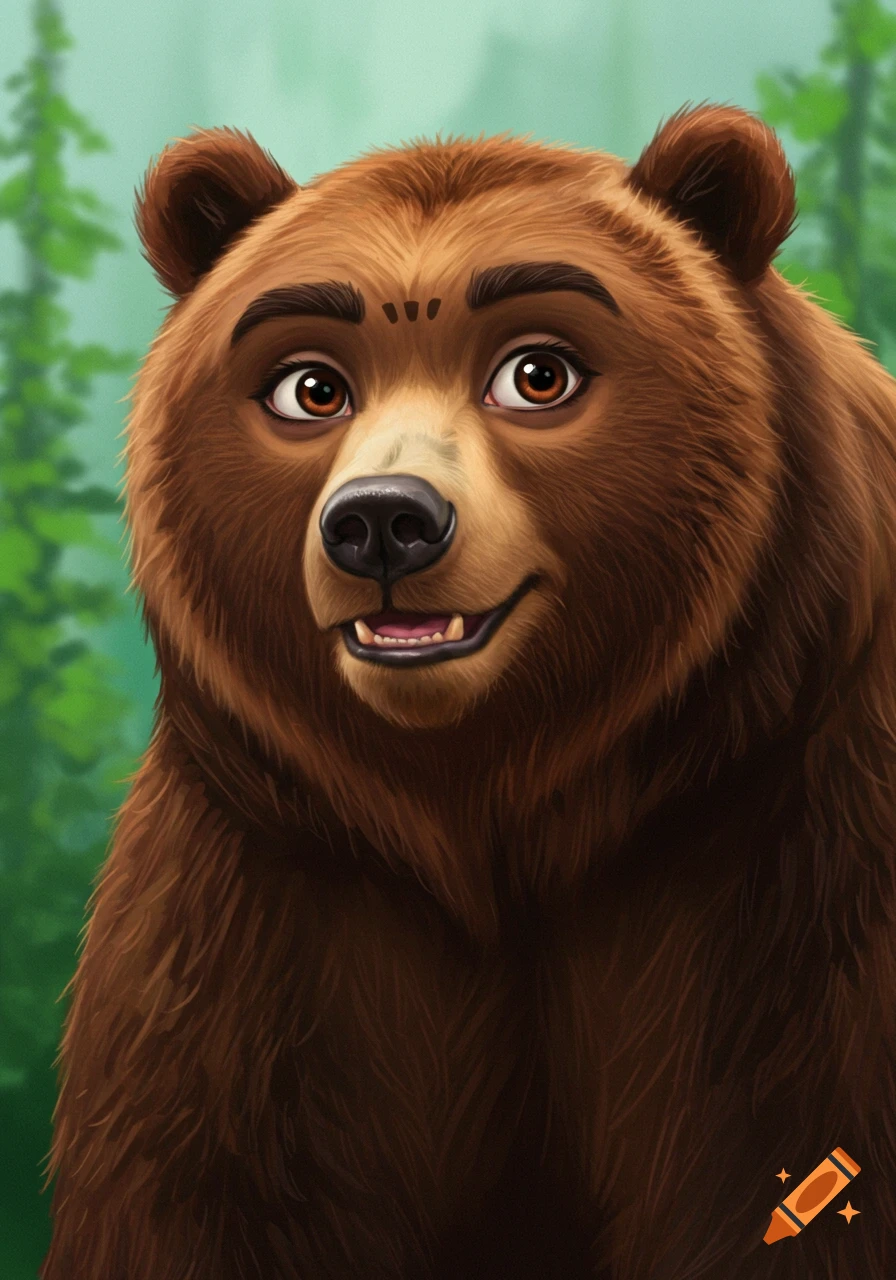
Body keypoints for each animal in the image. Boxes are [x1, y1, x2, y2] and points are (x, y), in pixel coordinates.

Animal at [40, 103, 896, 1279]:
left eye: (538, 374)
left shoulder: (790, 852)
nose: (382, 521)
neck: (487, 815)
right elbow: (193, 1191)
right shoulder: (262, 896)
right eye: (310, 387)